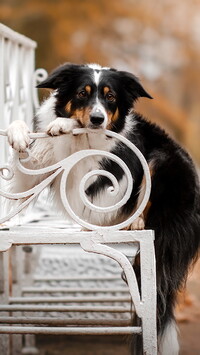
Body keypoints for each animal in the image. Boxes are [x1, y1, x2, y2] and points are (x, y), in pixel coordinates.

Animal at [6, 63, 200, 354]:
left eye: (110, 97)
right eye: (81, 93)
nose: (97, 119)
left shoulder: (91, 180)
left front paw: (64, 124)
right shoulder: (32, 175)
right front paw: (18, 133)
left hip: (163, 160)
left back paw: (135, 222)